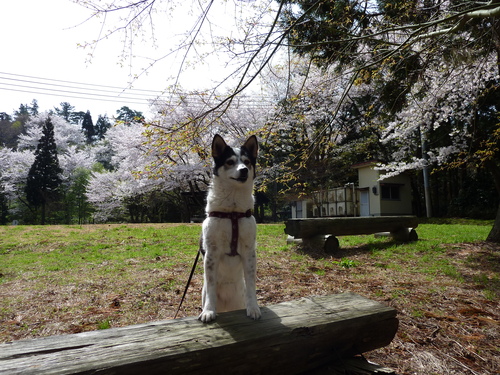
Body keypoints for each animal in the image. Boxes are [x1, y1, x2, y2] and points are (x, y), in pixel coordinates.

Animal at [198, 134, 262, 324]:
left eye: (247, 162)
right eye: (230, 162)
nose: (244, 170)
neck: (233, 212)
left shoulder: (249, 253)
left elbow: (252, 284)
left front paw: (253, 307)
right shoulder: (211, 254)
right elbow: (211, 284)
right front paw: (208, 311)